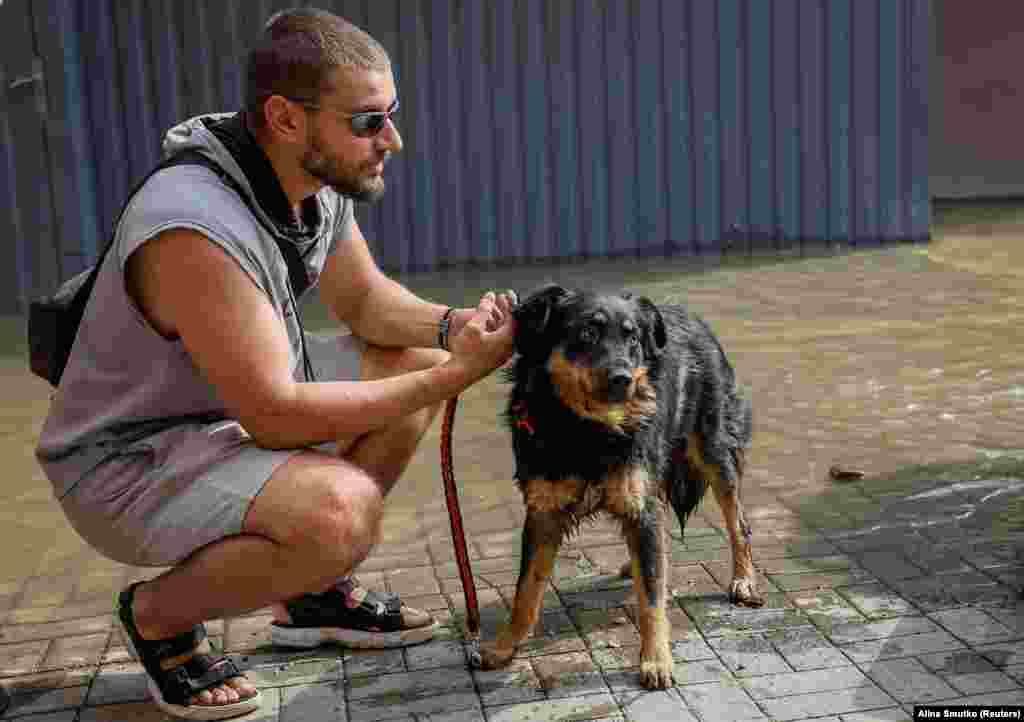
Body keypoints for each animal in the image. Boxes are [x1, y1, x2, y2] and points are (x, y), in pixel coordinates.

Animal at [477, 282, 761, 688]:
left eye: (632, 338)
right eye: (586, 333)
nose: (623, 379)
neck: (586, 430)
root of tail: (691, 315)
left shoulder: (642, 506)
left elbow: (652, 598)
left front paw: (656, 660)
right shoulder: (542, 512)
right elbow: (525, 590)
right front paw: (505, 646)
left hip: (714, 451)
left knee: (738, 522)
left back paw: (744, 579)